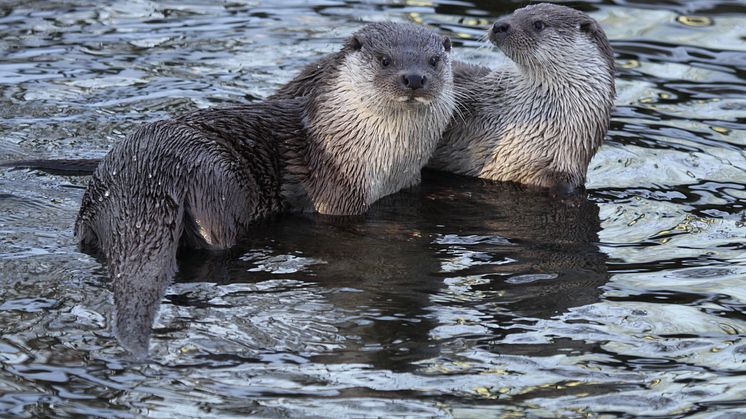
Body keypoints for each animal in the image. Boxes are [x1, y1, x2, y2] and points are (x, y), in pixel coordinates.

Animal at [74, 22, 454, 354]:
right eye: (385, 60)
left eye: (434, 60)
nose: (414, 78)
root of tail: (143, 172)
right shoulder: (337, 195)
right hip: (217, 175)